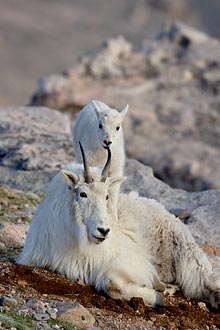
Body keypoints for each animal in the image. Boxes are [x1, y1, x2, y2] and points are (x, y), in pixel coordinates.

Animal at [17, 146, 220, 310]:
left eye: (107, 196)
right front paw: (156, 294)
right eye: (83, 194)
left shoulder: (125, 260)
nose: (103, 231)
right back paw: (165, 287)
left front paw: (155, 296)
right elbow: (113, 286)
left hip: (186, 251)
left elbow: (115, 283)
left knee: (204, 281)